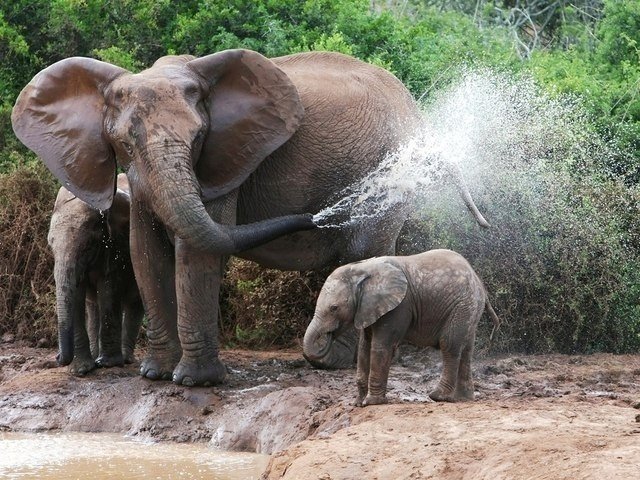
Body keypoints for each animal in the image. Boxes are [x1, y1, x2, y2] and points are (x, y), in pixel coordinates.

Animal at [47, 172, 144, 376]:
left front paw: (108, 364)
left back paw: (124, 359)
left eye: (87, 245)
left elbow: (108, 287)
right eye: (50, 245)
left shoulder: (116, 245)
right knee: (93, 307)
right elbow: (77, 294)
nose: (57, 357)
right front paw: (81, 370)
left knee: (134, 302)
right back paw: (95, 356)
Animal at [304, 249, 500, 404]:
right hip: (470, 308)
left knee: (450, 345)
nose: (328, 335)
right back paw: (463, 398)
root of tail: (479, 282)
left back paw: (438, 396)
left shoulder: (399, 306)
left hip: (462, 305)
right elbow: (364, 348)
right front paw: (358, 403)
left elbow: (381, 346)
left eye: (334, 308)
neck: (363, 268)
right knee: (466, 349)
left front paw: (372, 402)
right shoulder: (369, 308)